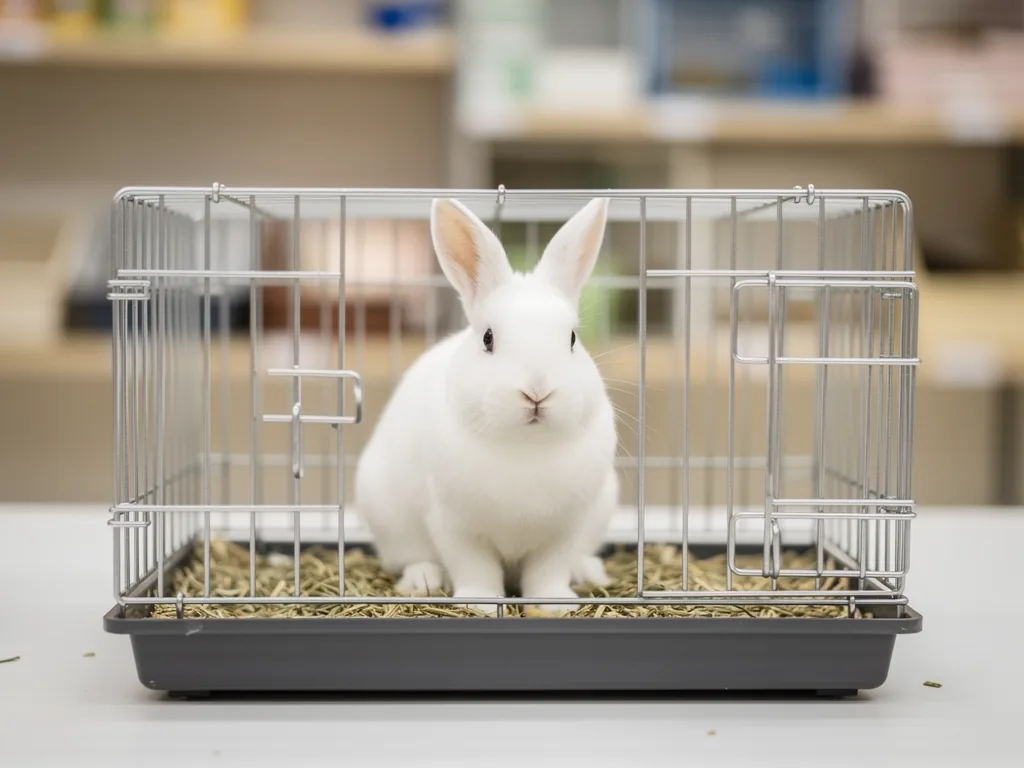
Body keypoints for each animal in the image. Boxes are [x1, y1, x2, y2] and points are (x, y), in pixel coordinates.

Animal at [354, 196, 618, 615]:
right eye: (488, 338)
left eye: (573, 339)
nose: (537, 390)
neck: (525, 447)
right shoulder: (454, 524)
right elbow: (474, 567)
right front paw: (479, 604)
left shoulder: (566, 528)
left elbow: (549, 570)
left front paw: (555, 604)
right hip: (386, 514)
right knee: (412, 557)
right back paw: (422, 580)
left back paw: (587, 571)